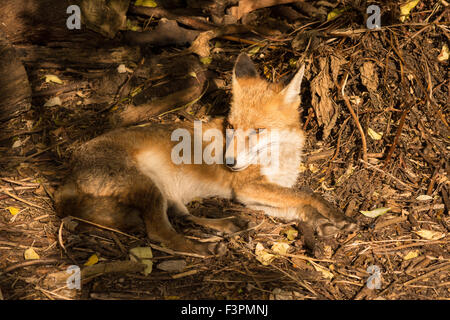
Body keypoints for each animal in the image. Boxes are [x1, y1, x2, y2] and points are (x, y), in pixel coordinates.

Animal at [53, 53, 356, 256]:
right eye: (231, 127)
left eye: (258, 130)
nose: (229, 162)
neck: (279, 158)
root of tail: (65, 178)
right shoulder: (247, 187)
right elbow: (308, 195)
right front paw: (335, 216)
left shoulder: (250, 196)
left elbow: (300, 205)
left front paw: (321, 222)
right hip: (149, 189)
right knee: (161, 234)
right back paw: (201, 249)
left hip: (167, 194)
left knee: (182, 217)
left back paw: (227, 225)